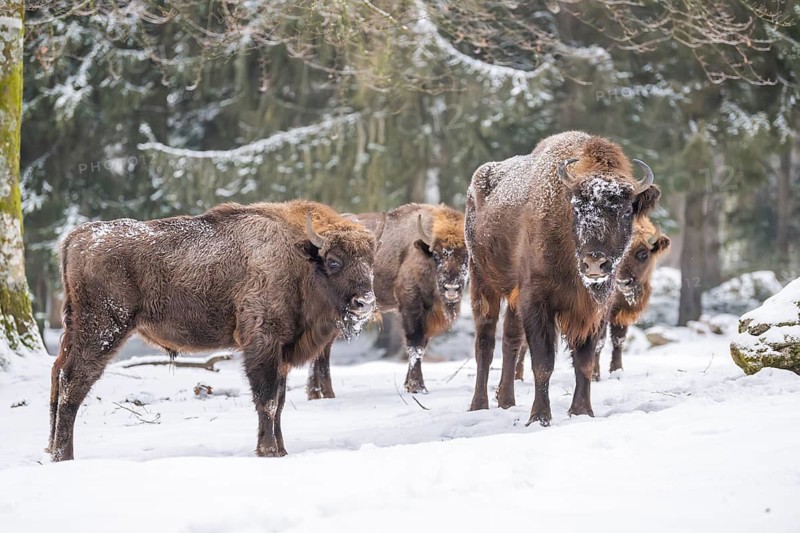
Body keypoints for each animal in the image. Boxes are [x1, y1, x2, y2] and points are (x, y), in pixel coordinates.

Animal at [48, 200, 377, 460]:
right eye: (333, 261)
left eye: (370, 262)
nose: (365, 302)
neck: (298, 258)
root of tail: (77, 237)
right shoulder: (263, 345)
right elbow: (268, 400)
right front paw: (269, 451)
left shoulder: (282, 353)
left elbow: (280, 402)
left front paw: (281, 450)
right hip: (103, 330)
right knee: (74, 381)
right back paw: (64, 456)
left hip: (76, 329)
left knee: (58, 373)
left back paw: (51, 450)